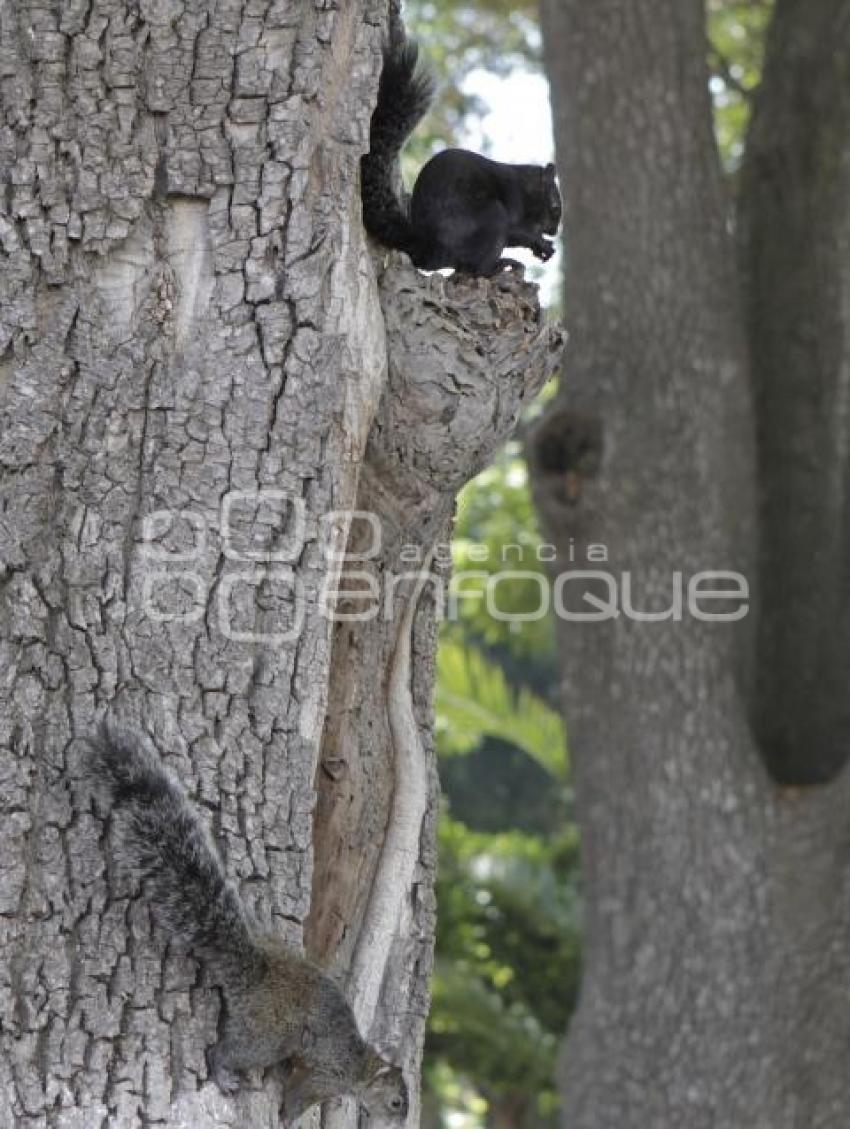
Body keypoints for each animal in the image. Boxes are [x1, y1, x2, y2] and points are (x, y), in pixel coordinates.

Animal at [86, 727, 408, 1124]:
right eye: (396, 1102)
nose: (400, 1123)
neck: (360, 1068)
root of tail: (257, 969)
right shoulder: (326, 1075)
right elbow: (299, 1096)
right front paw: (287, 1118)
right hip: (268, 1035)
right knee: (226, 1051)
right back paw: (223, 1072)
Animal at [361, 17, 559, 275]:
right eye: (554, 205)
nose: (554, 231)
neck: (525, 188)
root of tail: (431, 251)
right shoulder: (513, 201)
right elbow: (516, 232)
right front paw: (539, 242)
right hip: (491, 217)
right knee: (475, 267)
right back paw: (500, 264)